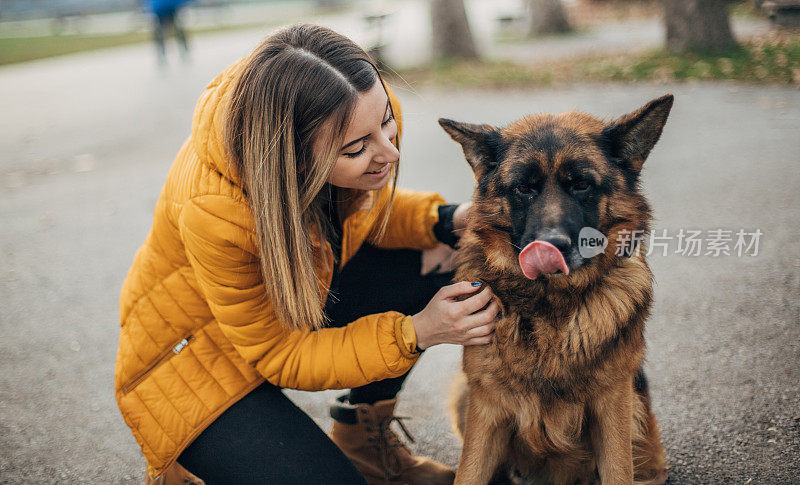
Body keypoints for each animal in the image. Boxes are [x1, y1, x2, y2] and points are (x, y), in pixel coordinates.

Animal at [440, 95, 672, 484]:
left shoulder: (613, 407)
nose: (552, 246)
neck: (549, 304)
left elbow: (618, 472)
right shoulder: (486, 407)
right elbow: (468, 473)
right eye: (523, 188)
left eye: (581, 184)